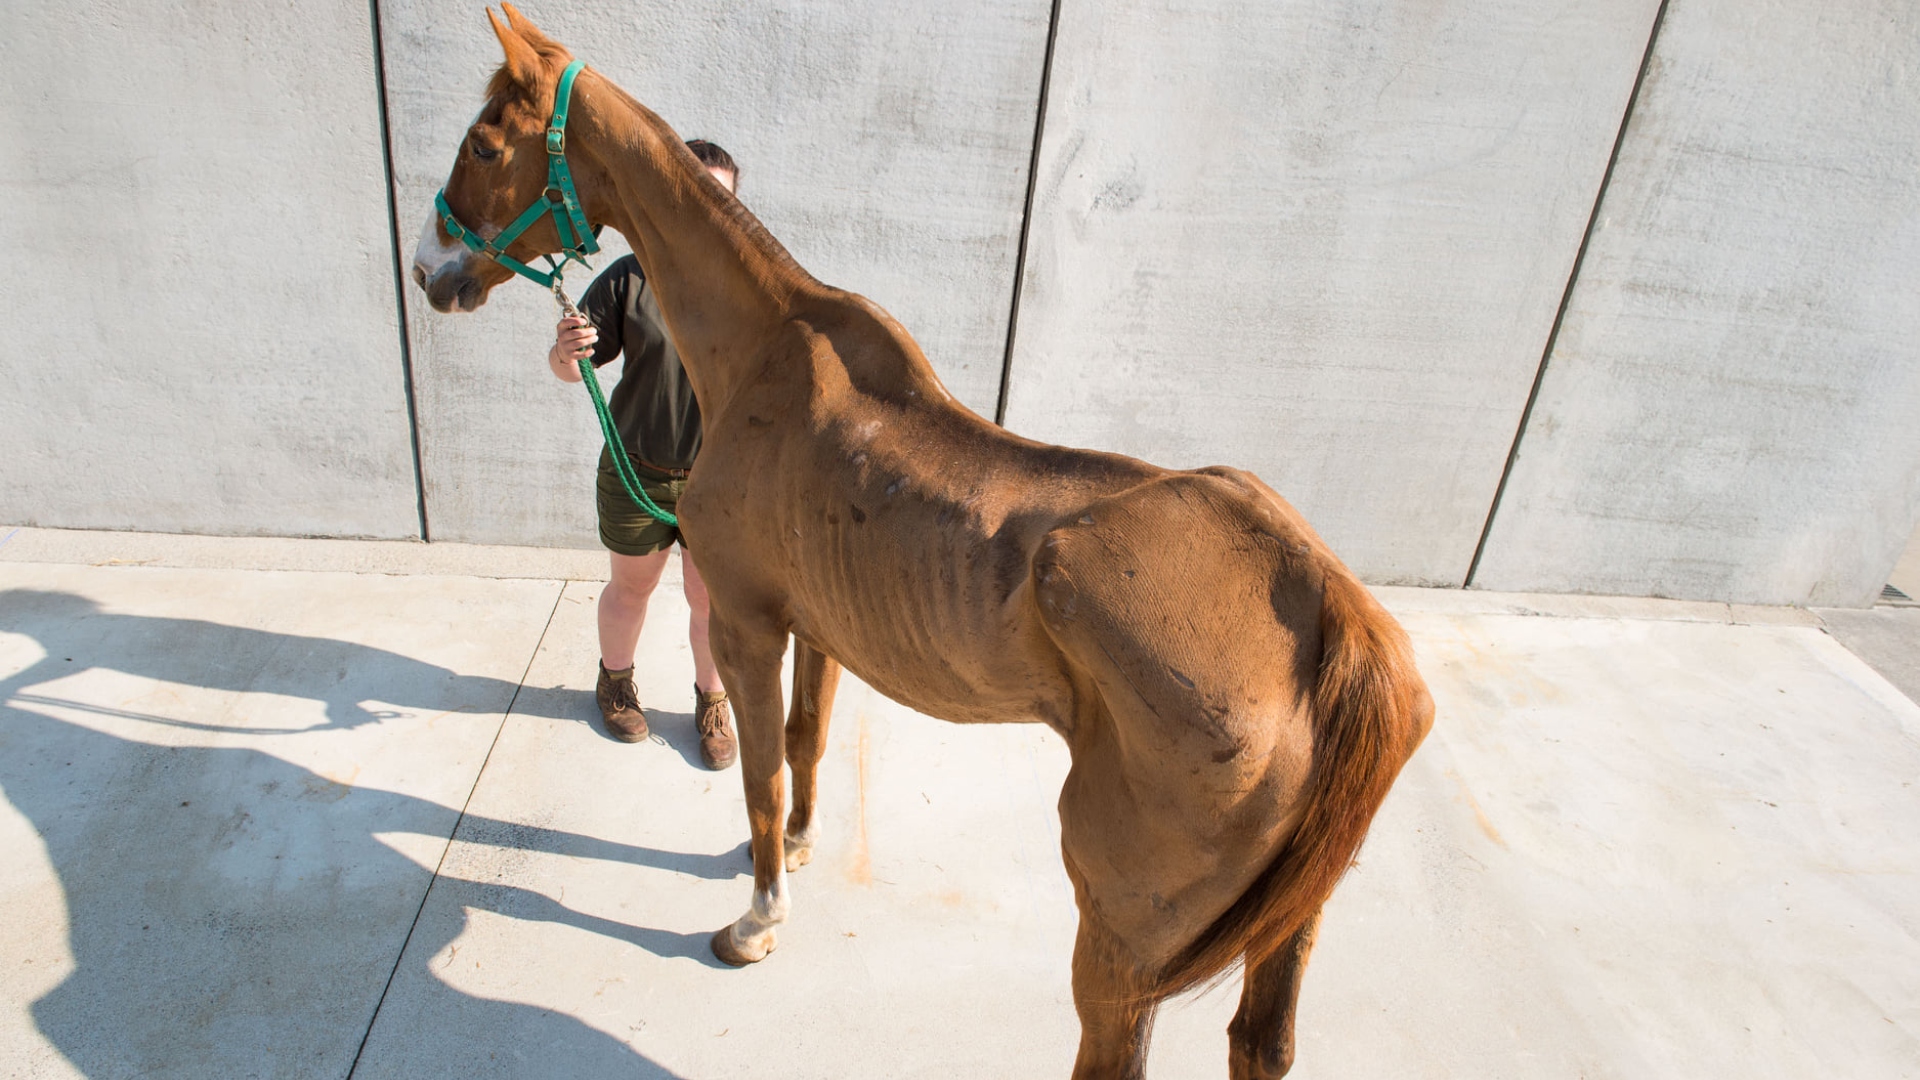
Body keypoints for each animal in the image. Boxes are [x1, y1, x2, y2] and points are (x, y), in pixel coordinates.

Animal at [412, 6, 1436, 1068]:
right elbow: (808, 741)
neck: (764, 352)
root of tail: (1331, 610)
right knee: (1259, 1044)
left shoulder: (746, 623)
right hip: (1289, 920)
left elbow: (762, 773)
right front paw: (802, 850)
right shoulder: (819, 628)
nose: (429, 271)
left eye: (485, 144)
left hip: (1121, 925)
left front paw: (758, 919)